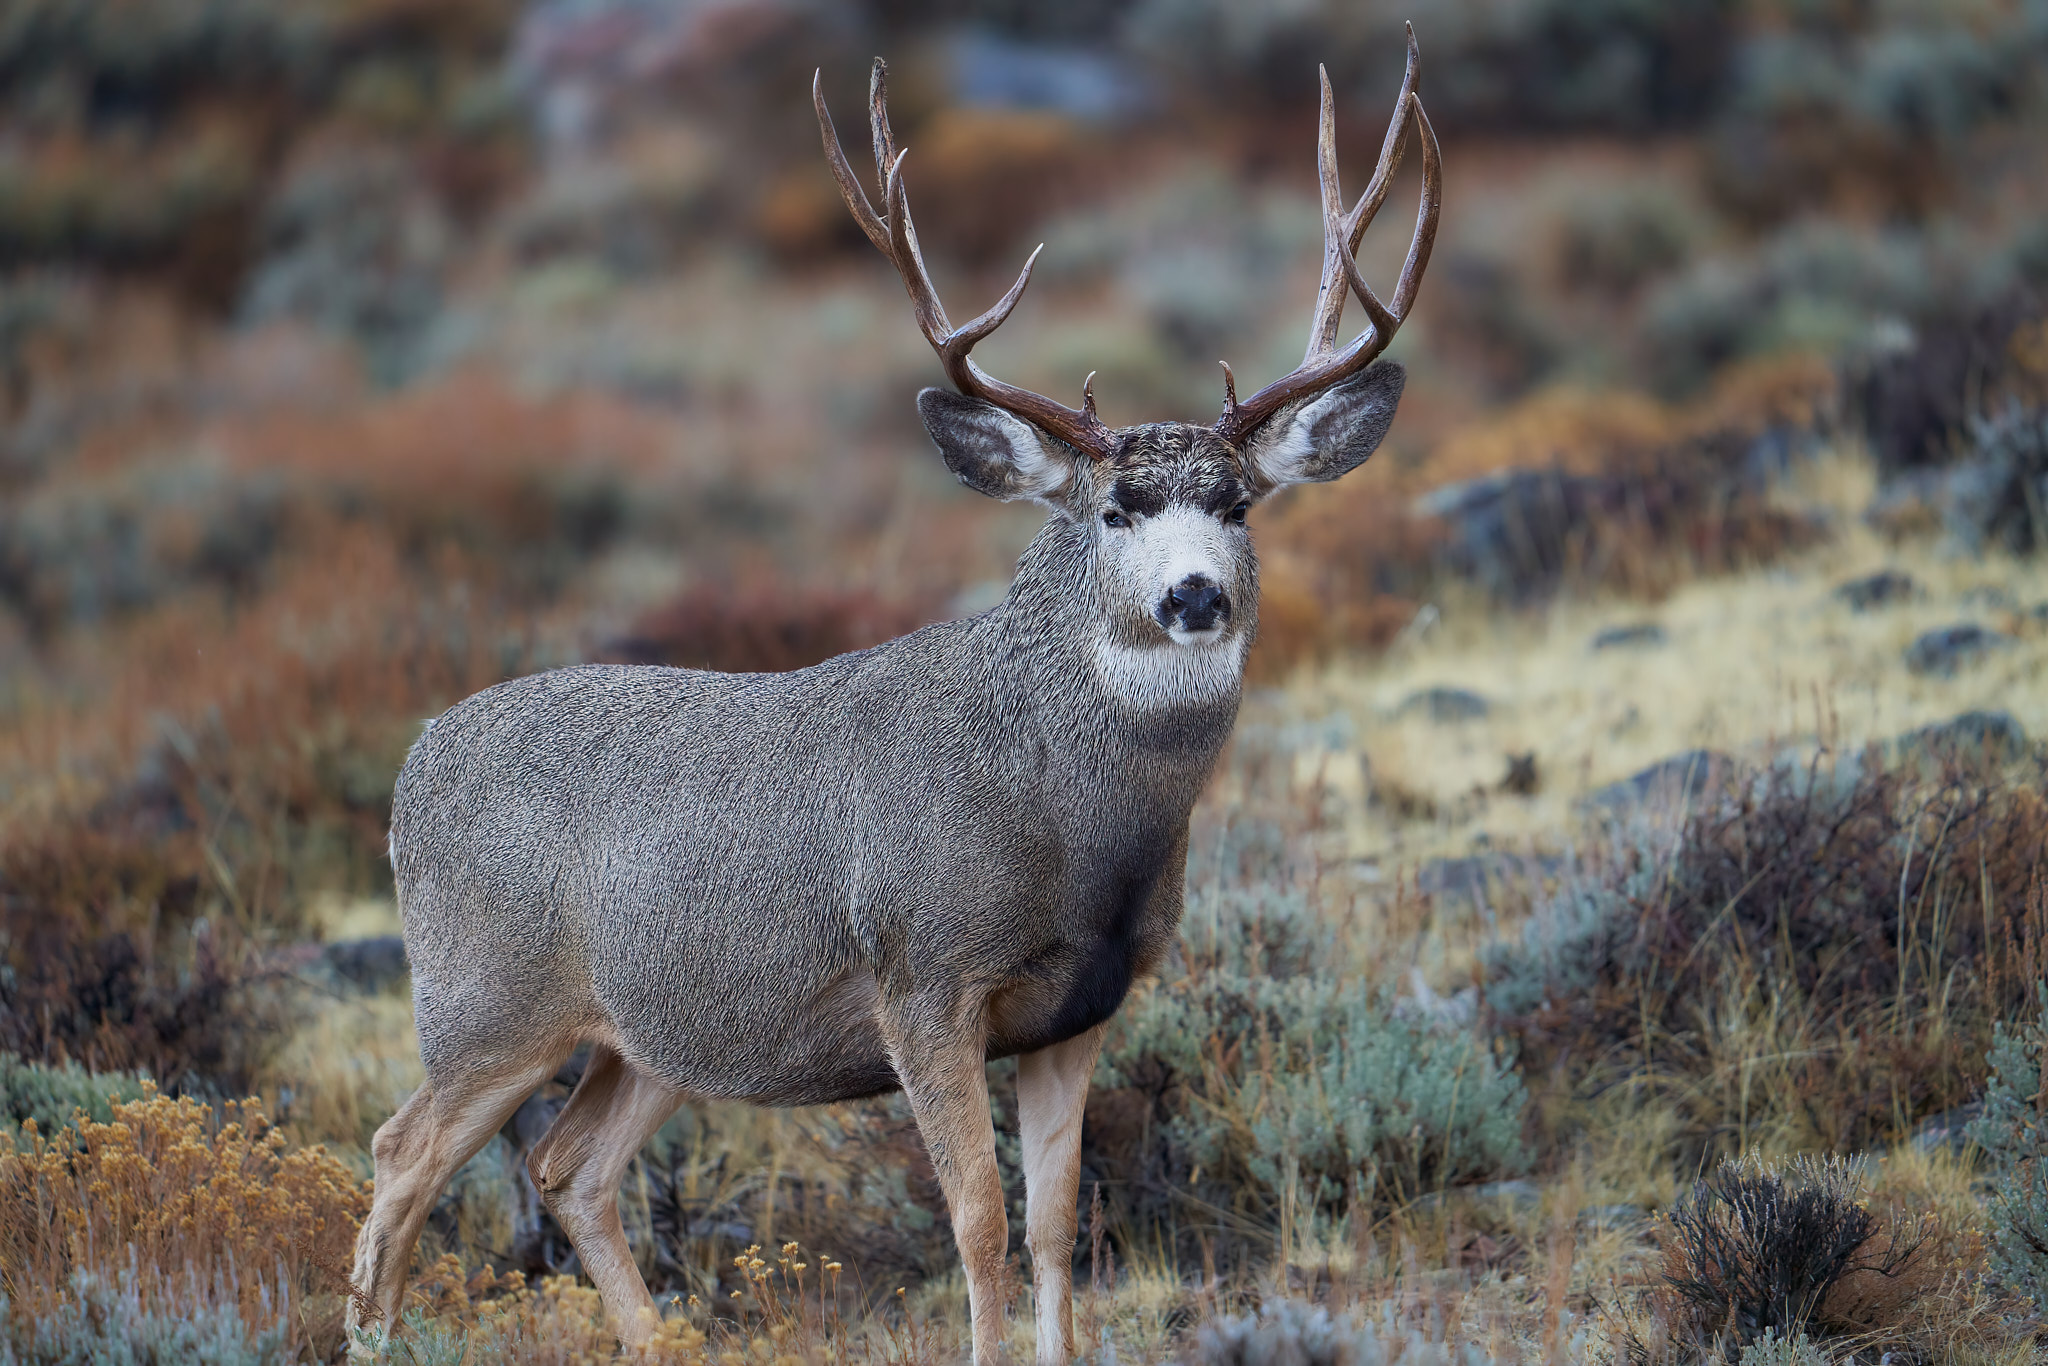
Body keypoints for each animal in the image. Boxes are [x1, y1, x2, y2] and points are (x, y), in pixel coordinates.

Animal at [348, 29, 1439, 1366]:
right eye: (1113, 510)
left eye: (1237, 503)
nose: (1192, 596)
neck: (1069, 825)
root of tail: (410, 769)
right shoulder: (923, 978)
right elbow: (974, 1216)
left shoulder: (1081, 1005)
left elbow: (1055, 1220)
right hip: (486, 998)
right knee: (400, 1158)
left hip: (649, 1029)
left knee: (567, 1167)